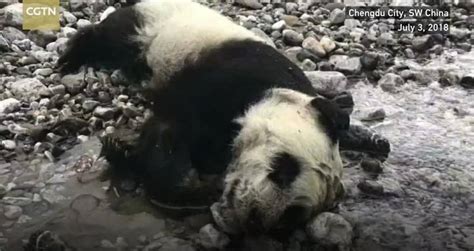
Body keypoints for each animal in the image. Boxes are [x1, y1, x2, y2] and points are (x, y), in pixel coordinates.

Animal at [57, 0, 350, 233]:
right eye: (284, 168)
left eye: (292, 214)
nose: (255, 218)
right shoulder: (232, 78)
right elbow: (169, 128)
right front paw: (123, 149)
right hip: (152, 25)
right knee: (111, 36)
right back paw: (71, 56)